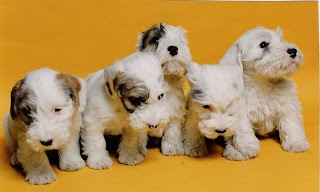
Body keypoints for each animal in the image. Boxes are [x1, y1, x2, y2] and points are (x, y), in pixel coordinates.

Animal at [136, 23, 191, 157]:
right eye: (155, 39)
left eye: (179, 41)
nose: (173, 48)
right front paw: (137, 150)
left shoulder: (175, 110)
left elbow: (172, 131)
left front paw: (172, 147)